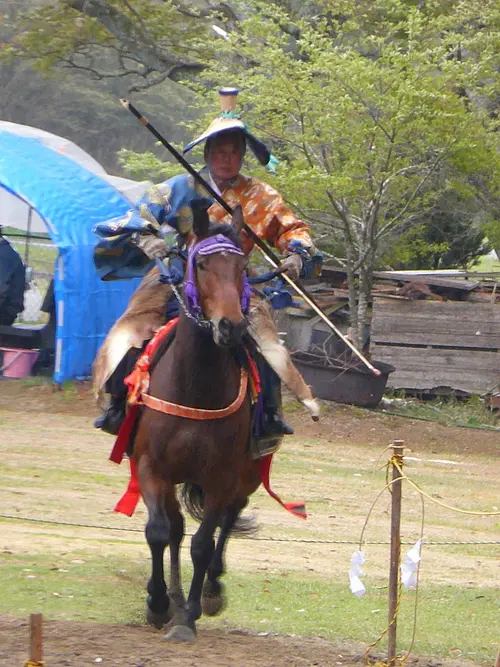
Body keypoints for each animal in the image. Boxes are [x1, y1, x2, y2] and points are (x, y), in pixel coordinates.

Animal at [133, 198, 266, 640]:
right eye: (203, 265)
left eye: (242, 266)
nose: (231, 325)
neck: (194, 387)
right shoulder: (150, 466)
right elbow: (160, 531)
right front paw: (159, 603)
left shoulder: (222, 476)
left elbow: (204, 543)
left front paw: (189, 615)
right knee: (174, 527)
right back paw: (173, 596)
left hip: (249, 473)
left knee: (230, 516)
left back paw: (209, 590)